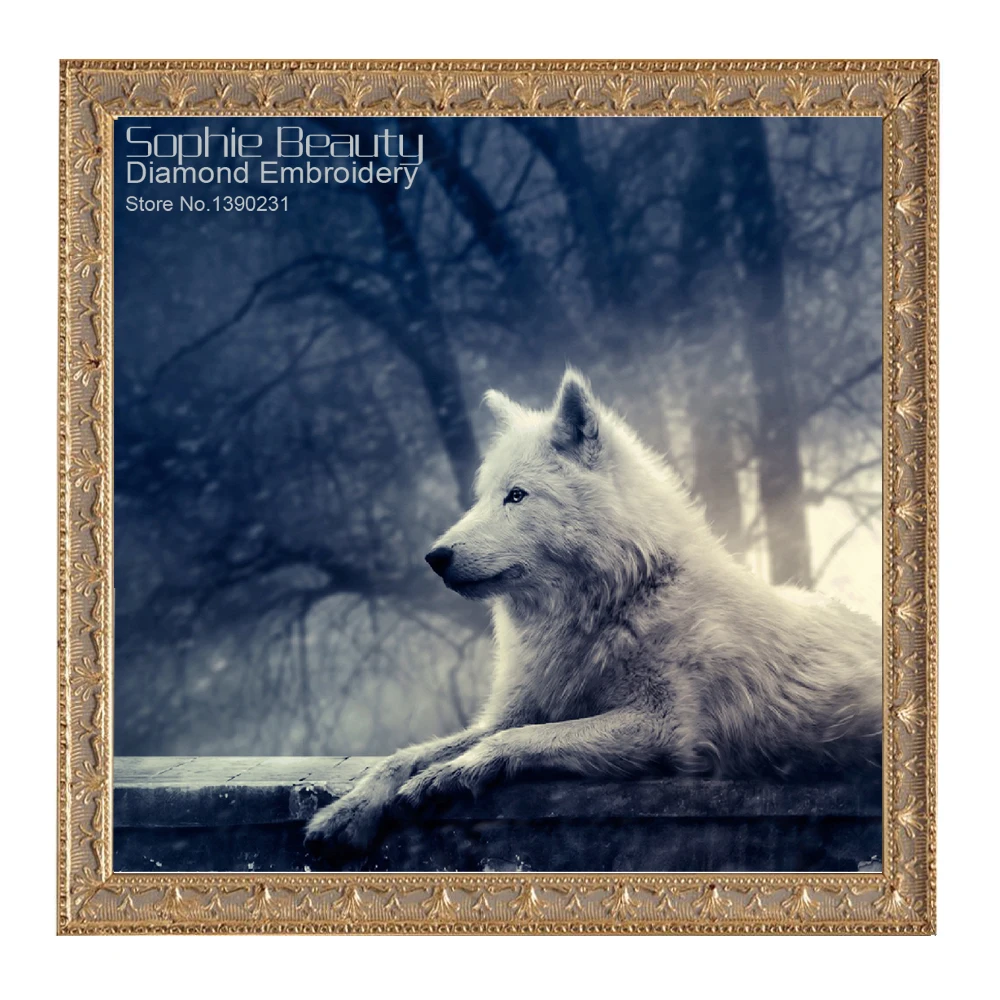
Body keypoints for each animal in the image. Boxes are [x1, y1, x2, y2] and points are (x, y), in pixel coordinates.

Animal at [305, 369, 881, 852]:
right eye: (483, 497)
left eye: (517, 496)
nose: (434, 557)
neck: (616, 602)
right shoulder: (517, 709)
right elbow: (404, 755)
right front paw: (347, 810)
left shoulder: (665, 729)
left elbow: (520, 740)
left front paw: (450, 774)